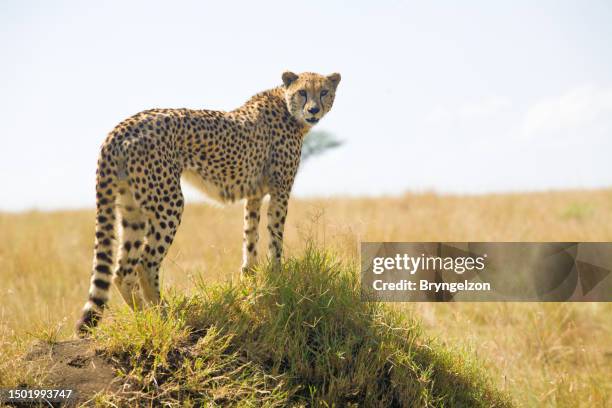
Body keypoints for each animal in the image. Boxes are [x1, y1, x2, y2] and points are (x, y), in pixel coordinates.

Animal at [76, 70, 340, 334]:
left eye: (324, 92)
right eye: (302, 92)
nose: (314, 110)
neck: (287, 107)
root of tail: (122, 126)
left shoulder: (254, 194)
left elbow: (250, 238)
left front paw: (251, 281)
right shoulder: (280, 191)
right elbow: (275, 238)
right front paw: (278, 280)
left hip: (132, 208)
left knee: (122, 271)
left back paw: (145, 318)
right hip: (168, 203)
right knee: (145, 264)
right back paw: (165, 315)